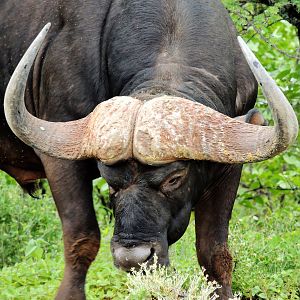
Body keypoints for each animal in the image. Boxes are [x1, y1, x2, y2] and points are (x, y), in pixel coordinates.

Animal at [0, 0, 298, 298]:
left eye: (175, 178)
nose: (132, 259)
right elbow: (81, 239)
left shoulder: (229, 166)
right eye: (109, 181)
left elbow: (215, 252)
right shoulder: (61, 160)